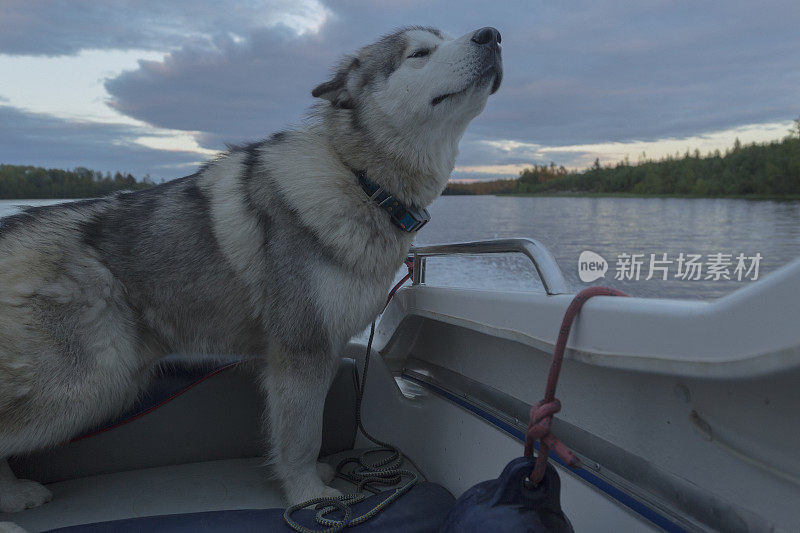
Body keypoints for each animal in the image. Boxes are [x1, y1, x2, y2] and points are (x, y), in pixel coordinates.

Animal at [0, 26, 500, 512]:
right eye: (419, 53)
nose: (492, 34)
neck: (360, 179)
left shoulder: (322, 350)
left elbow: (305, 431)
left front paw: (315, 480)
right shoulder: (301, 350)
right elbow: (302, 437)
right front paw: (309, 498)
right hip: (90, 384)